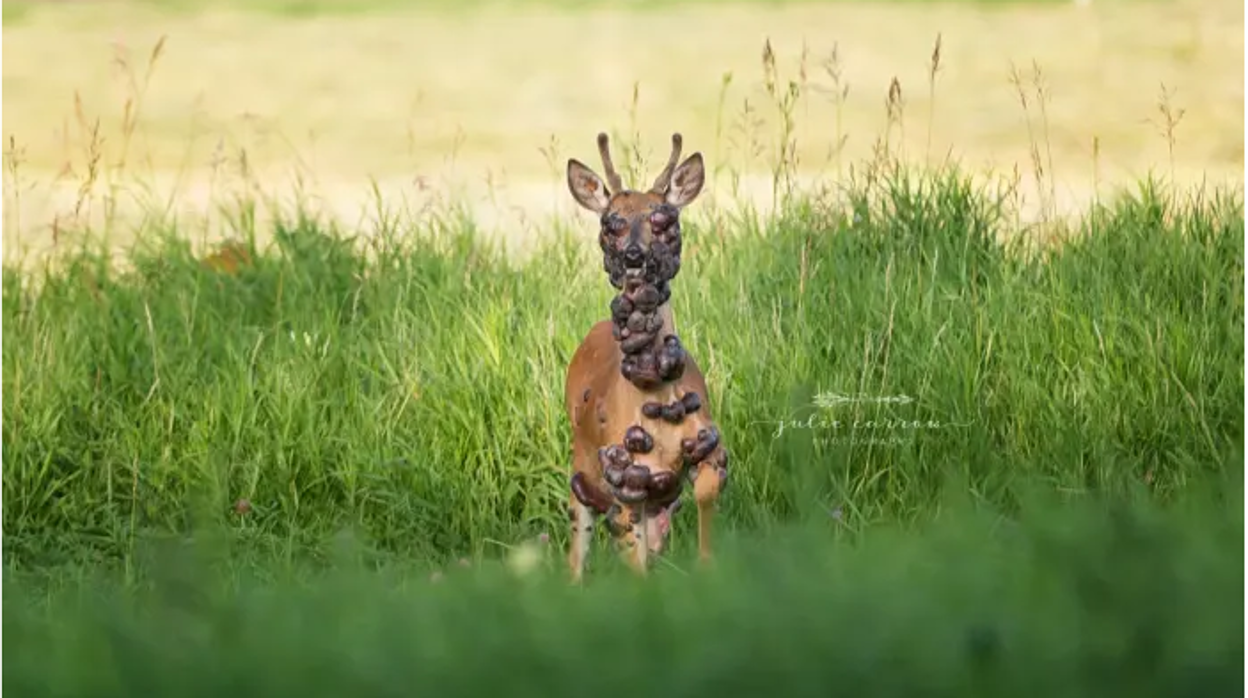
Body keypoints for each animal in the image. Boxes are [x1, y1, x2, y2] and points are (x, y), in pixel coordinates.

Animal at [561, 132, 728, 584]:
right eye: (609, 222)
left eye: (664, 219)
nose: (634, 256)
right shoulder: (623, 474)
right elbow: (632, 559)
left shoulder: (706, 444)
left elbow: (706, 492)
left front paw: (708, 568)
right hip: (582, 462)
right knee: (577, 548)